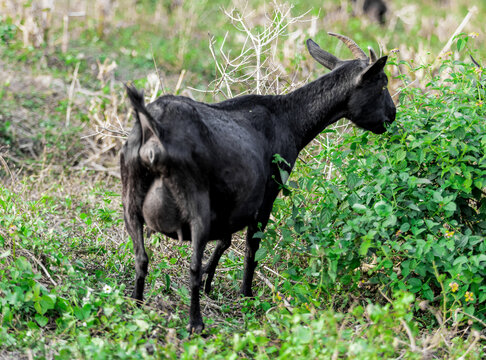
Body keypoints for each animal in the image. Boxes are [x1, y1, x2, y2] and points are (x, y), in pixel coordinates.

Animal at [119, 32, 396, 334]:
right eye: (382, 83)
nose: (392, 116)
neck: (287, 117)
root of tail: (153, 129)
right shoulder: (268, 193)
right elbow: (252, 245)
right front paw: (247, 295)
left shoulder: (233, 201)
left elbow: (225, 240)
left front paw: (210, 283)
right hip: (196, 204)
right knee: (191, 264)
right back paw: (196, 323)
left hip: (130, 199)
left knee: (141, 258)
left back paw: (136, 306)